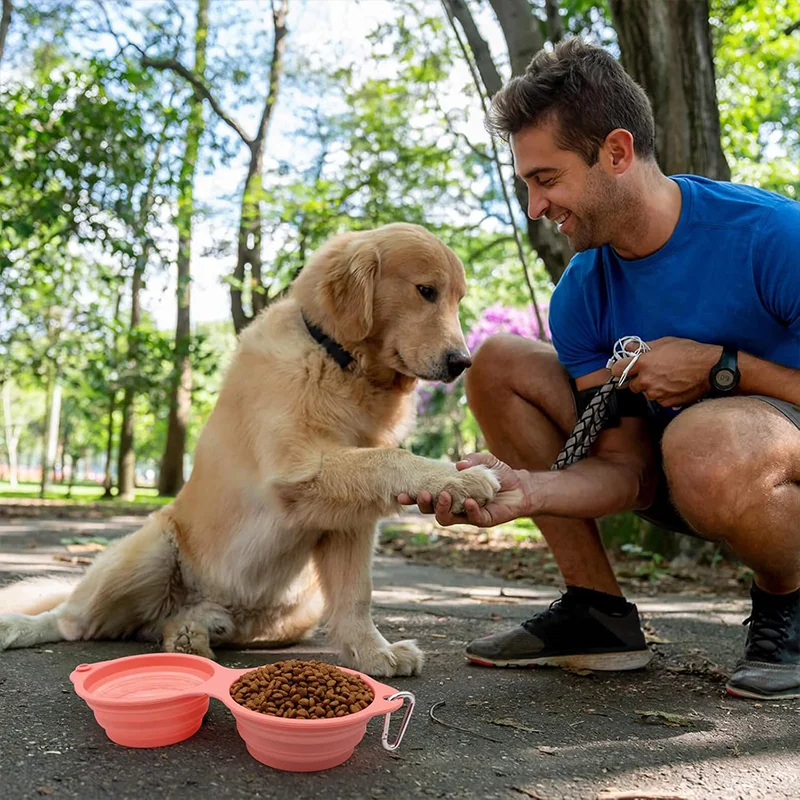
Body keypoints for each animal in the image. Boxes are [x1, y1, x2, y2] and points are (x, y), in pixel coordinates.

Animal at [0, 223, 500, 676]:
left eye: (457, 299)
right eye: (426, 291)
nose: (463, 362)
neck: (340, 362)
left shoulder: (349, 521)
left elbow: (356, 596)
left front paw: (373, 654)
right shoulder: (295, 470)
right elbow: (389, 458)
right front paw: (459, 478)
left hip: (293, 610)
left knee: (174, 624)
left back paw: (193, 632)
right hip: (148, 553)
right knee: (71, 621)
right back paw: (18, 627)